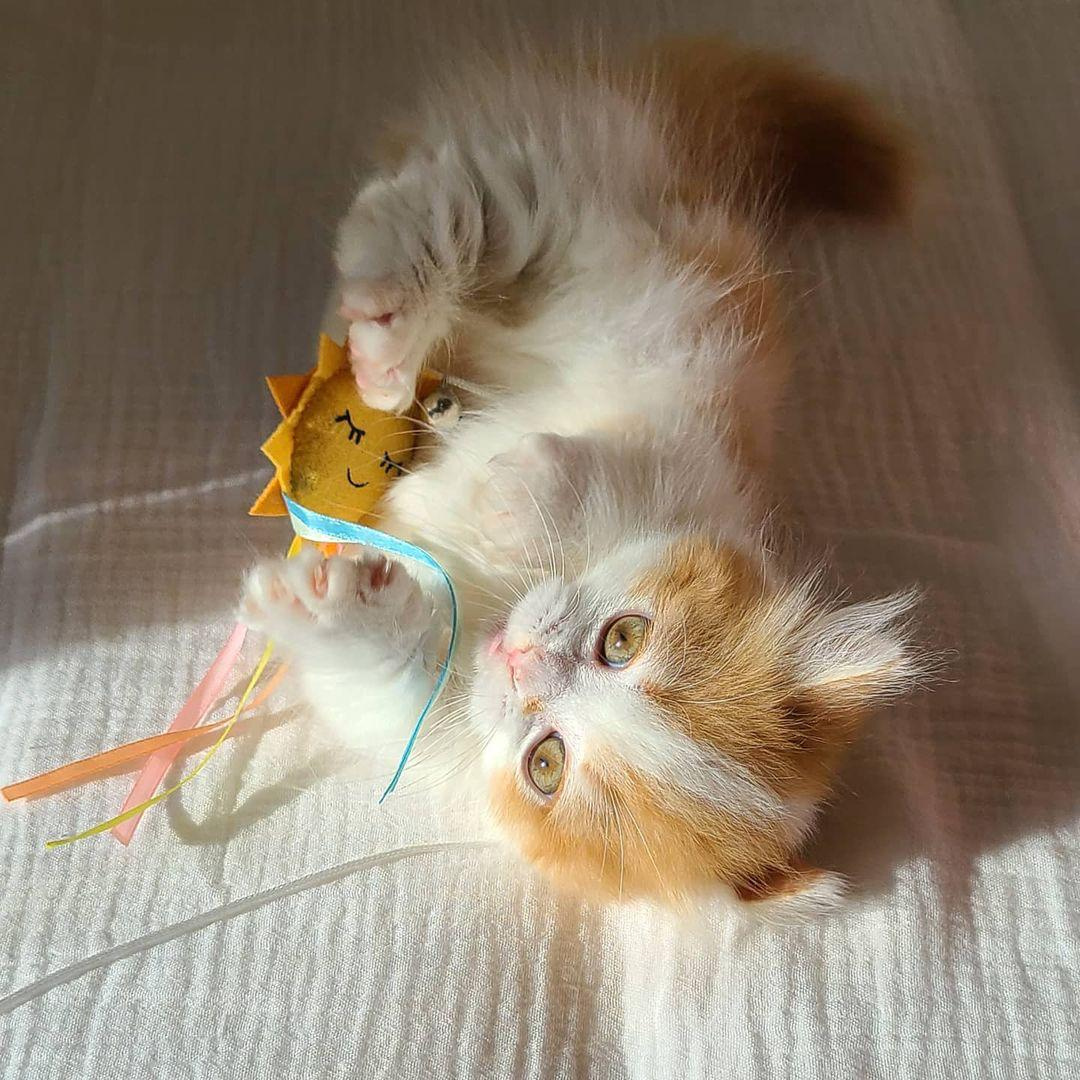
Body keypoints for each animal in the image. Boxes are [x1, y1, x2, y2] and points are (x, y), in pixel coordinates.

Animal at [243, 39, 920, 911]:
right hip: (602, 242)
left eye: (546, 764)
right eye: (624, 640)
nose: (522, 659)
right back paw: (385, 331)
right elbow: (595, 474)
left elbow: (390, 674)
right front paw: (508, 497)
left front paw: (330, 601)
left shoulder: (441, 726)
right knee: (460, 200)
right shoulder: (698, 430)